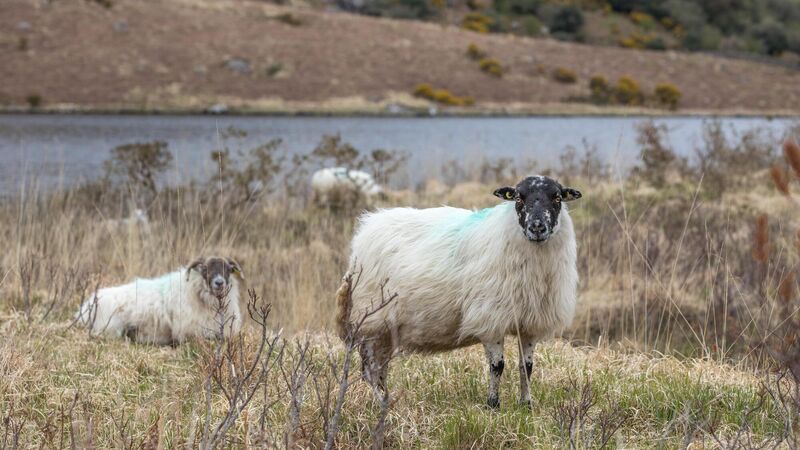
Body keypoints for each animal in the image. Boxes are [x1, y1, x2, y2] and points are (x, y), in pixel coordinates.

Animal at [76, 256, 246, 345]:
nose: (219, 283)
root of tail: (84, 309)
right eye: (205, 269)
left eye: (228, 269)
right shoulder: (189, 333)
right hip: (111, 328)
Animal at [336, 175, 582, 408]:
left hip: (385, 330)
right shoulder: (490, 317)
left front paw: (526, 405)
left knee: (379, 369)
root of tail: (365, 232)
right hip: (372, 320)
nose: (537, 227)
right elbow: (497, 366)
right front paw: (493, 405)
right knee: (369, 371)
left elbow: (527, 367)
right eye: (519, 198)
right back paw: (382, 403)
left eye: (557, 198)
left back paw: (385, 399)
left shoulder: (530, 322)